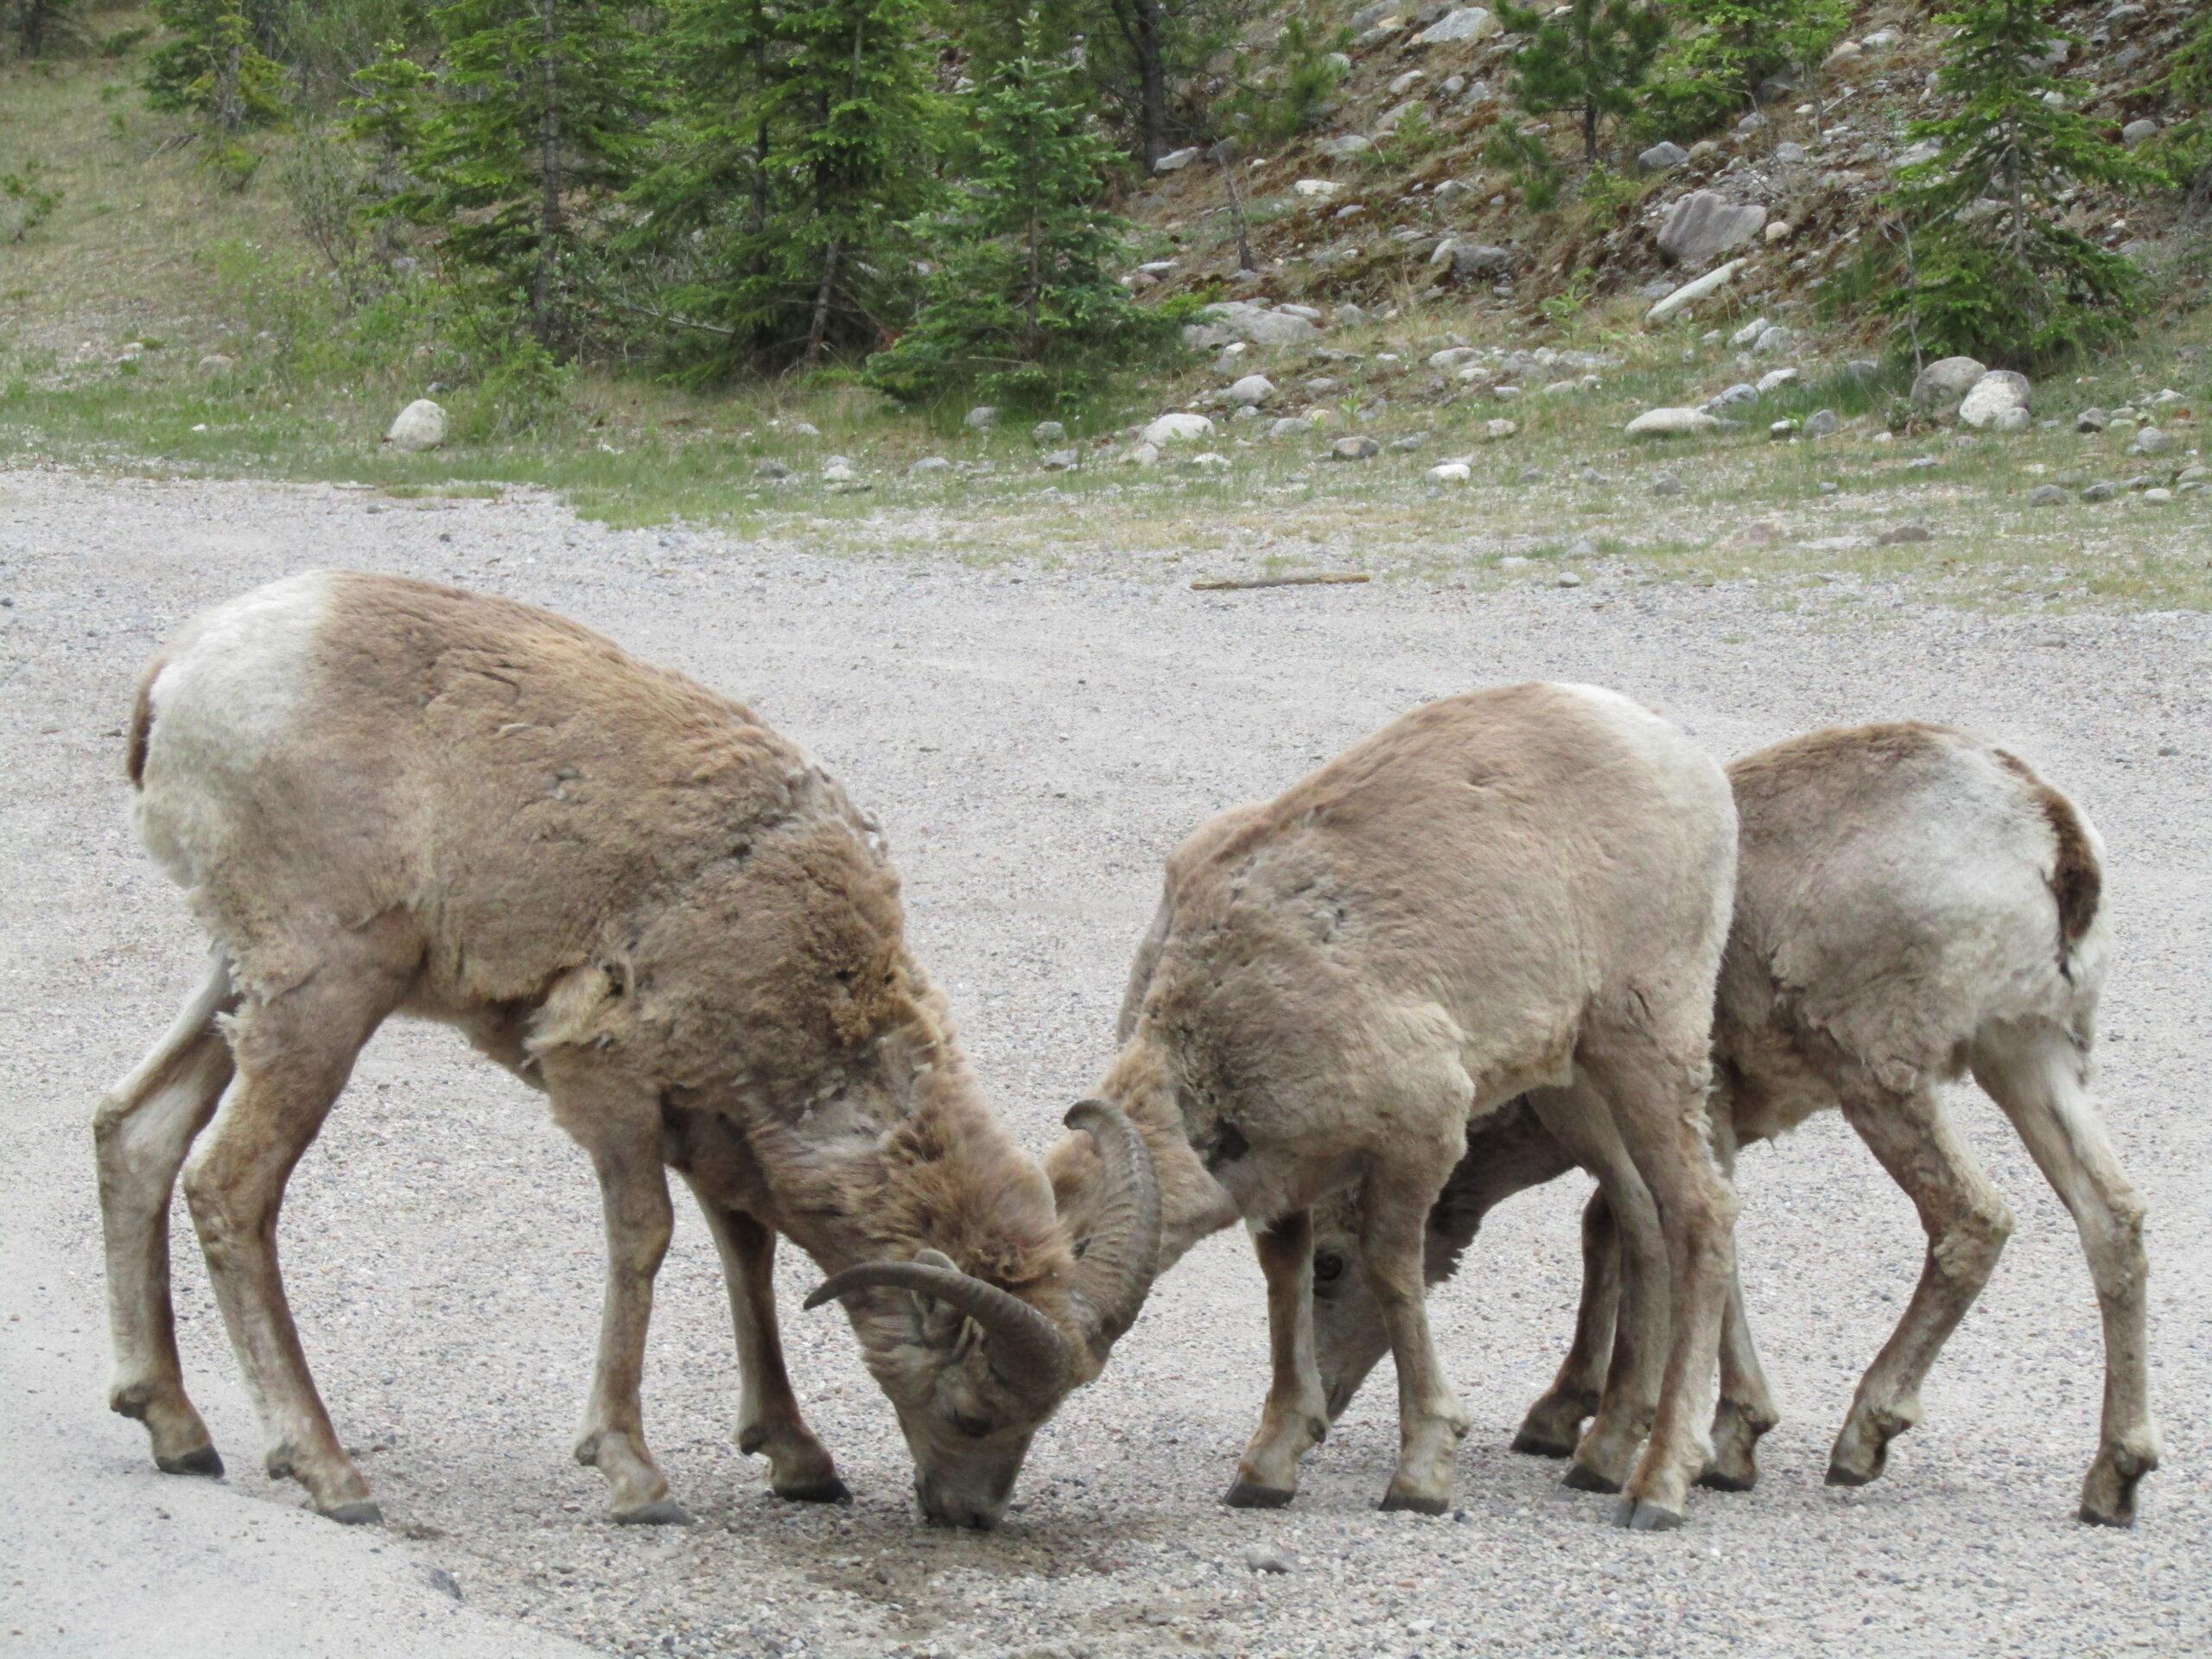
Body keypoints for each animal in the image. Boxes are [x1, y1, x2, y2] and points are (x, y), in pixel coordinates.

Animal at [90, 570, 1159, 1530]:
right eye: (975, 1411)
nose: (967, 1515)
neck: (797, 951)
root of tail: (178, 677)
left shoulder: (710, 1121)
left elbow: (747, 1248)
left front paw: (799, 1461)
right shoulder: (606, 1084)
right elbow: (645, 1239)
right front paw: (635, 1477)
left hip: (238, 979)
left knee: (135, 1132)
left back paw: (177, 1431)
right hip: (326, 990)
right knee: (230, 1186)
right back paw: (329, 1473)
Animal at [1048, 677, 1743, 1530]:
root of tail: (1673, 750)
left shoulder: (1424, 1132)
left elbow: (1392, 1270)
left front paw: (1419, 1478)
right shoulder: (1288, 1173)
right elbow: (1281, 1275)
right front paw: (1268, 1468)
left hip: (1646, 1037)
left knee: (1701, 1214)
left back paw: (1657, 1489)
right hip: (1577, 1081)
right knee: (1642, 1218)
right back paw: (1599, 1458)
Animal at [1300, 725, 2150, 1530]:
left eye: (1331, 1263)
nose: (1317, 1414)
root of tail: (2052, 835)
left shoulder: (1676, 1111)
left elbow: (1663, 1236)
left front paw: (1673, 1442)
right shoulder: (1715, 1122)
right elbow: (1621, 1233)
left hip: (1880, 1070)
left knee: (1975, 1218)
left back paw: (1863, 1437)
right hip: (2032, 1052)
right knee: (2113, 1216)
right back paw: (2114, 1479)